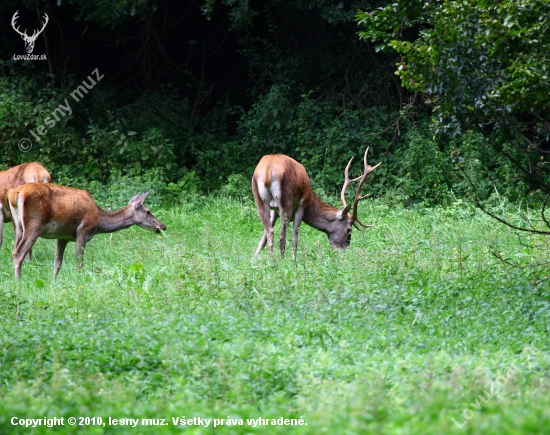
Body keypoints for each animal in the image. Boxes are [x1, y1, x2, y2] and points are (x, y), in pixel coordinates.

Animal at [8, 185, 166, 280]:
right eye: (148, 211)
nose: (163, 226)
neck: (99, 220)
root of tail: (15, 194)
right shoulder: (83, 230)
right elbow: (79, 261)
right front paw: (79, 280)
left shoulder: (62, 236)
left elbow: (57, 263)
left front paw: (54, 281)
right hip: (34, 225)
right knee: (19, 253)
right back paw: (18, 281)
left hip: (18, 227)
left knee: (14, 250)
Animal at [252, 148, 382, 260]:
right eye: (348, 230)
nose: (343, 251)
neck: (311, 198)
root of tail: (268, 171)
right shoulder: (302, 204)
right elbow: (295, 237)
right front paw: (294, 260)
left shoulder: (275, 210)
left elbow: (262, 239)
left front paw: (254, 258)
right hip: (286, 200)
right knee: (281, 235)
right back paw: (281, 260)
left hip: (259, 199)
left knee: (269, 231)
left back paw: (271, 259)